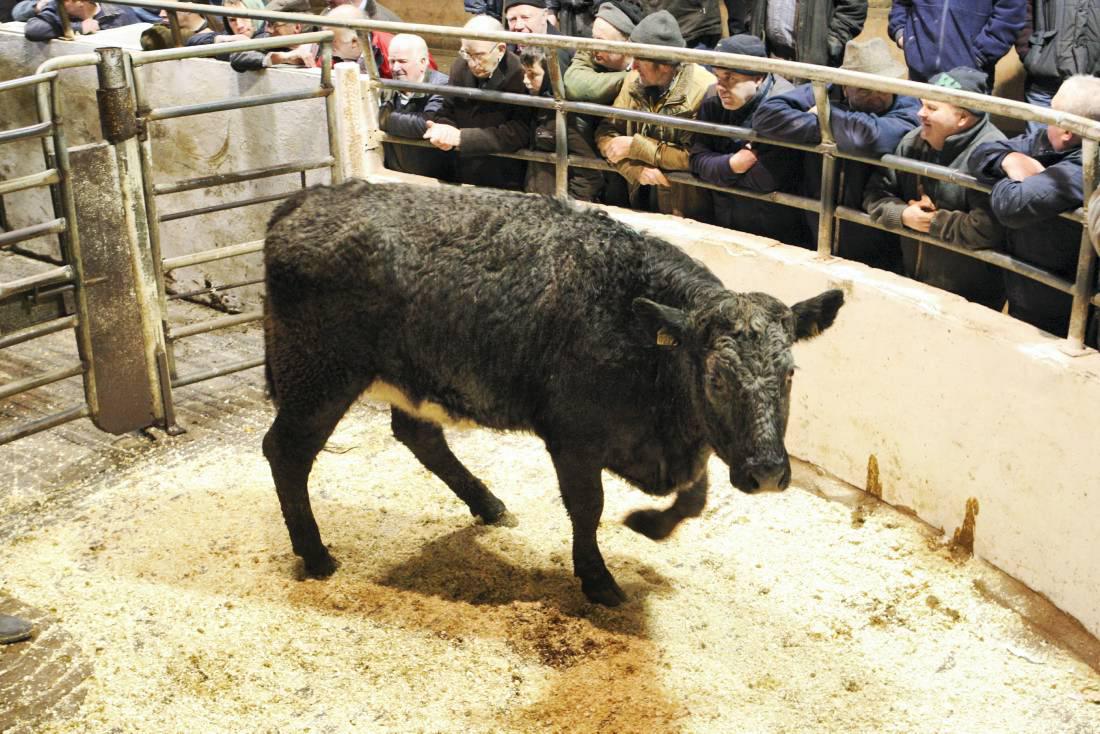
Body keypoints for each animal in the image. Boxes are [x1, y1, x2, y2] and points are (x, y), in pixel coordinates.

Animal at [262, 179, 843, 606]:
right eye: (716, 378)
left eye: (789, 373)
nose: (766, 472)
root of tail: (309, 198)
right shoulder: (573, 437)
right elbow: (588, 507)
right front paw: (598, 579)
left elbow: (694, 497)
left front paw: (650, 525)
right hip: (317, 375)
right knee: (286, 451)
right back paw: (315, 554)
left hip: (408, 375)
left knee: (417, 434)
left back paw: (487, 503)